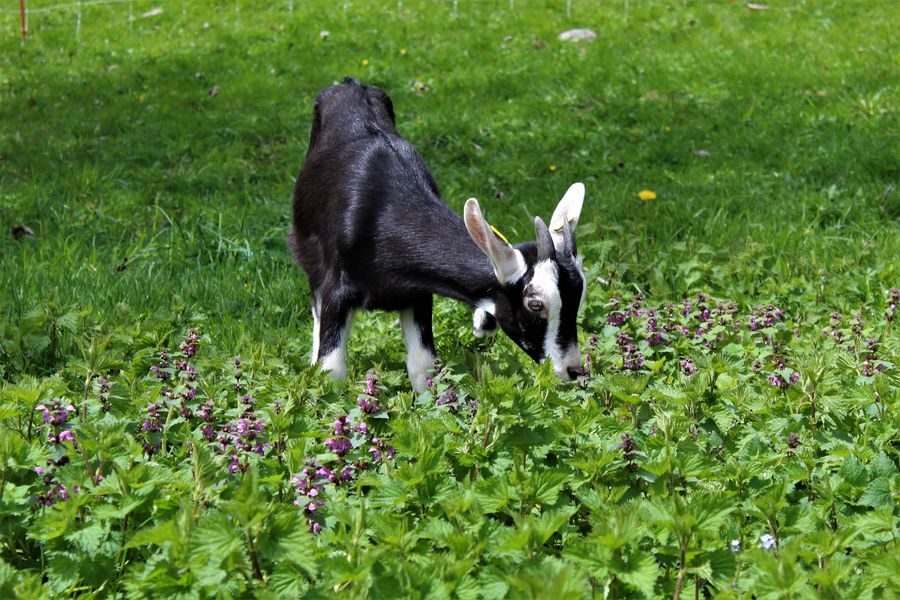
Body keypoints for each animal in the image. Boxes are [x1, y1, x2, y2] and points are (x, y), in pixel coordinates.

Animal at [288, 77, 588, 392]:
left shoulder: (417, 293)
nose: (573, 370)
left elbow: (423, 367)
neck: (381, 214)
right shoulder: (338, 288)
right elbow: (331, 370)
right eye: (535, 304)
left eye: (578, 298)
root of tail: (350, 83)